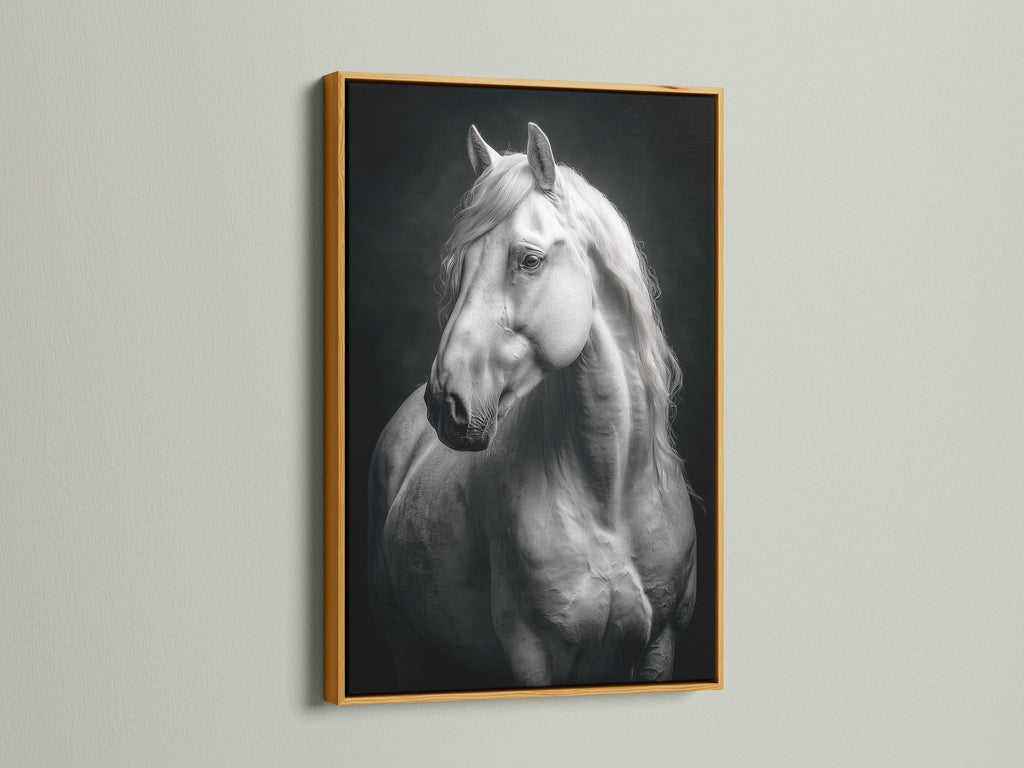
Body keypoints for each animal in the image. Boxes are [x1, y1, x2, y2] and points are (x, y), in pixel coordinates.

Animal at [367, 123, 696, 689]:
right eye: (458, 265)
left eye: (530, 260)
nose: (445, 405)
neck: (610, 494)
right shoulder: (533, 656)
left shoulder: (661, 645)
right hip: (401, 635)